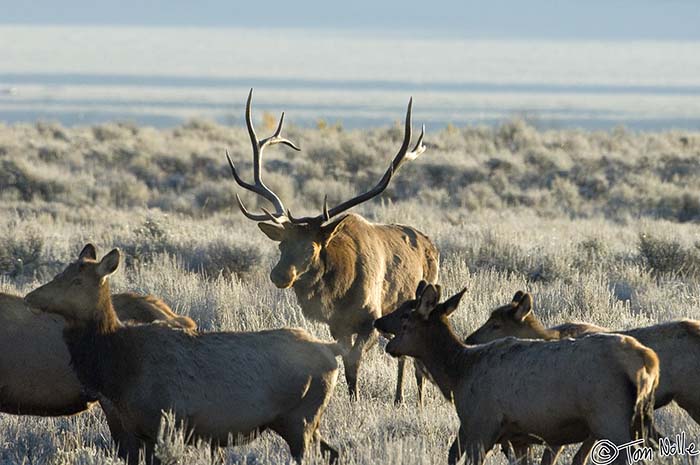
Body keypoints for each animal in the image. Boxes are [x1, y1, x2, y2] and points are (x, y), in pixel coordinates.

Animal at [26, 246, 344, 464]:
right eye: (60, 273)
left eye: (77, 281)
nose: (30, 297)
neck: (119, 367)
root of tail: (332, 350)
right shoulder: (135, 430)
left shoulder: (162, 424)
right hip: (302, 421)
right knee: (334, 451)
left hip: (301, 418)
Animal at [227, 89, 438, 402]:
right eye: (281, 245)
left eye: (311, 248)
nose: (279, 275)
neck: (339, 291)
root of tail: (430, 243)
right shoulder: (337, 325)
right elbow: (346, 363)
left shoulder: (371, 319)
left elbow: (354, 362)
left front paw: (356, 401)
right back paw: (399, 398)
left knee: (412, 359)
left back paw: (415, 399)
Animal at [374, 282, 660, 464]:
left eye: (406, 319)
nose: (379, 323)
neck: (458, 374)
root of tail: (647, 361)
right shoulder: (518, 436)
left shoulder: (481, 424)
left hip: (610, 417)